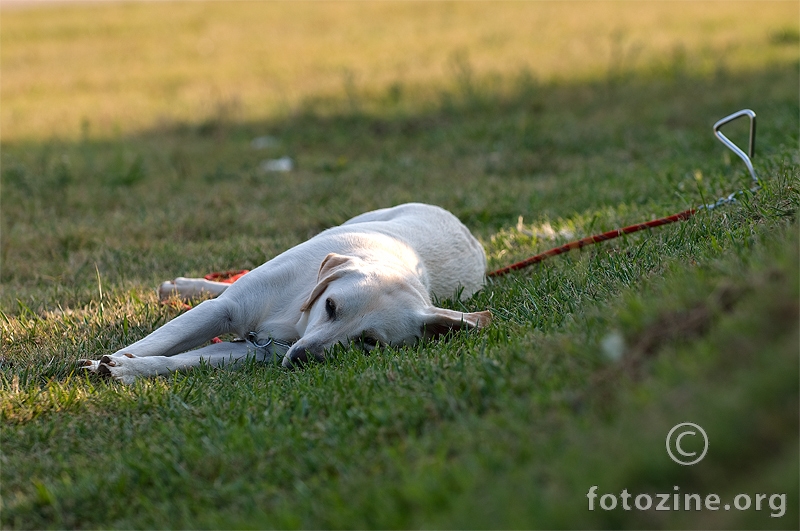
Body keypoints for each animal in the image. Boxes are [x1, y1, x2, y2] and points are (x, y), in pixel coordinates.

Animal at [84, 203, 490, 382]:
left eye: (370, 342)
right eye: (331, 306)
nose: (302, 358)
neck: (293, 321)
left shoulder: (255, 351)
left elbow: (179, 360)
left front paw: (126, 369)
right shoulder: (225, 310)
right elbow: (158, 339)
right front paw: (105, 360)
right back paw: (180, 287)